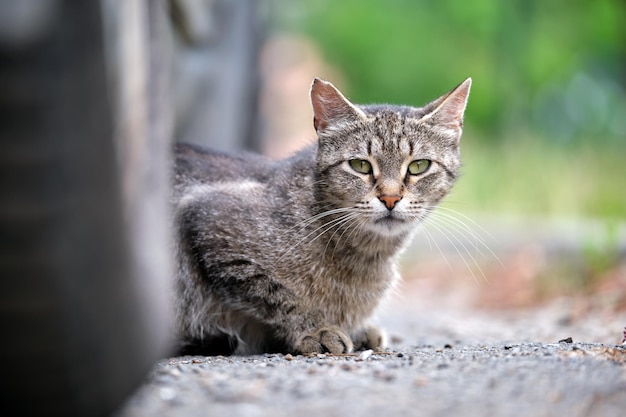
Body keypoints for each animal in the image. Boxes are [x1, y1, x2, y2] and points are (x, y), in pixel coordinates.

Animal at [171, 76, 468, 352]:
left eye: (419, 166)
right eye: (360, 165)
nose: (390, 198)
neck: (369, 254)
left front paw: (357, 330)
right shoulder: (210, 220)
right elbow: (275, 294)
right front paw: (316, 329)